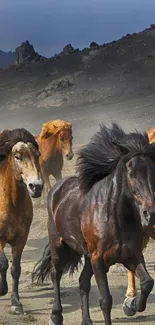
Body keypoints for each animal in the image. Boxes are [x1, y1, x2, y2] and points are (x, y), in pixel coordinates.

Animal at [31, 122, 155, 324]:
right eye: (131, 174)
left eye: (153, 172)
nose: (149, 213)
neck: (115, 218)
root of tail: (57, 189)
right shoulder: (99, 260)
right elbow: (105, 300)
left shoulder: (131, 255)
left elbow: (147, 282)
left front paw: (134, 304)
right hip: (59, 245)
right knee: (56, 274)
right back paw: (55, 316)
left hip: (87, 256)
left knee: (83, 282)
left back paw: (86, 320)